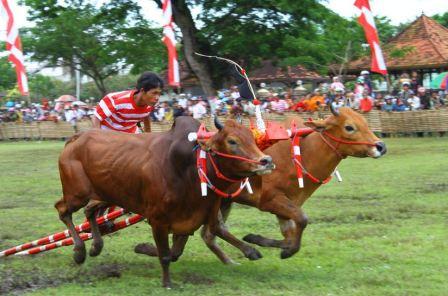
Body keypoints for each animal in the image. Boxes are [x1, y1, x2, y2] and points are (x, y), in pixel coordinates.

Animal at [55, 116, 272, 286]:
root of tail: (76, 138)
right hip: (77, 194)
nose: (266, 161)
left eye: (252, 138)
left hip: (106, 196)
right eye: (232, 141)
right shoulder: (158, 221)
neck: (190, 168)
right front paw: (167, 282)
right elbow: (167, 255)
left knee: (89, 211)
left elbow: (215, 231)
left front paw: (250, 250)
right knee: (62, 210)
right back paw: (79, 251)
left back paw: (95, 247)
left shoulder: (202, 213)